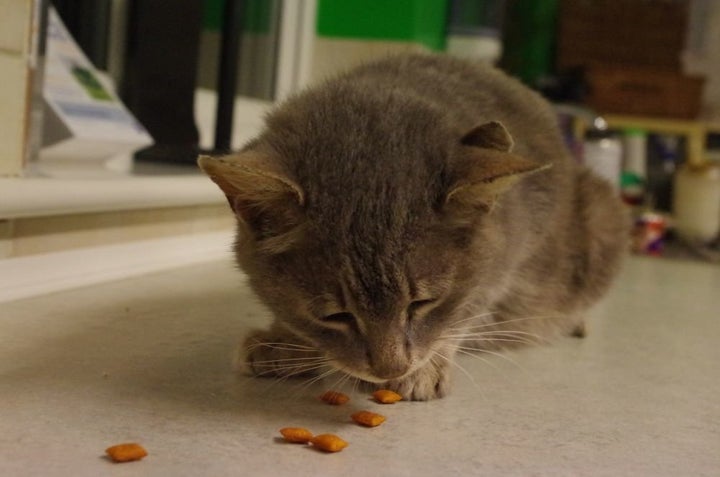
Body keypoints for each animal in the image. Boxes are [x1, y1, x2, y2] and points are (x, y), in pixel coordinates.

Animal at [200, 54, 628, 400]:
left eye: (423, 303)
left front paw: (426, 367)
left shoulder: (505, 265)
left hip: (603, 216)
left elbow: (465, 311)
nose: (390, 368)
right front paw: (283, 339)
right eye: (334, 316)